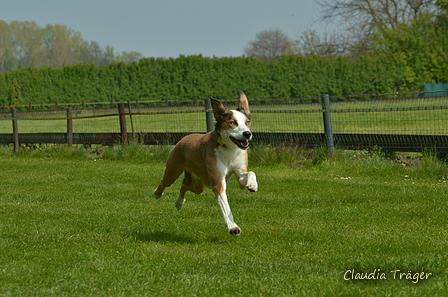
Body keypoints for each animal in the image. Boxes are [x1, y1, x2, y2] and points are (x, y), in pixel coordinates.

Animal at [155, 89, 258, 235]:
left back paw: (179, 202)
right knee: (165, 182)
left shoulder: (239, 170)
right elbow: (225, 206)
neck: (229, 149)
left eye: (247, 122)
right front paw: (232, 227)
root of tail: (184, 139)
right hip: (173, 169)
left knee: (184, 185)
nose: (247, 134)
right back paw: (157, 194)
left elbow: (250, 174)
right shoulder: (218, 181)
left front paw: (252, 185)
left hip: (200, 183)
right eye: (232, 122)